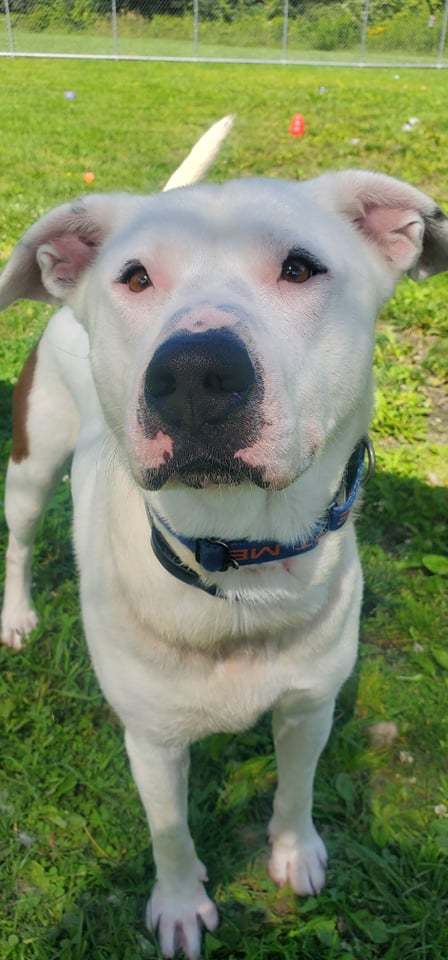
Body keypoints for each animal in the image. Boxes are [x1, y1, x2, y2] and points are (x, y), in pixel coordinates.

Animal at [0, 116, 448, 956]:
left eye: (301, 267)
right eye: (135, 277)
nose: (194, 373)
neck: (240, 564)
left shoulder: (310, 706)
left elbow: (296, 789)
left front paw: (294, 854)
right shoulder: (151, 742)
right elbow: (170, 832)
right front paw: (180, 904)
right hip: (31, 464)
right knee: (17, 539)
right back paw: (16, 615)